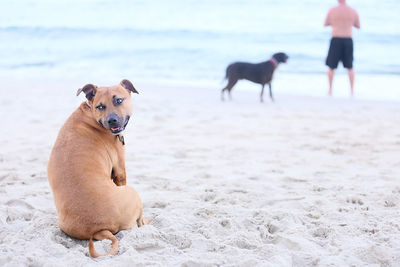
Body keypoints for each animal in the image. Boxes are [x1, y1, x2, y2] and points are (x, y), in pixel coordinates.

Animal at [47, 79, 150, 258]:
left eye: (119, 100)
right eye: (100, 106)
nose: (112, 120)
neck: (90, 113)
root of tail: (99, 229)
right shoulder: (120, 172)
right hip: (132, 193)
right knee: (140, 221)